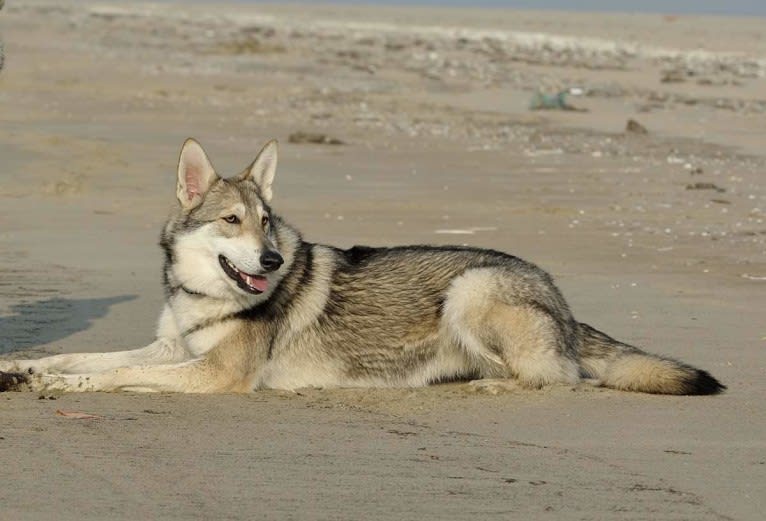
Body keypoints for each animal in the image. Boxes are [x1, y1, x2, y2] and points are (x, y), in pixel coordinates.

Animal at [0, 139, 728, 394]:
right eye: (232, 221)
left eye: (267, 222)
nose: (271, 258)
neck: (201, 298)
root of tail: (567, 303)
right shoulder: (171, 347)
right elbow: (82, 356)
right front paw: (23, 367)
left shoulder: (213, 372)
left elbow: (112, 373)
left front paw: (62, 386)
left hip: (469, 290)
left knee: (558, 377)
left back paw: (484, 388)